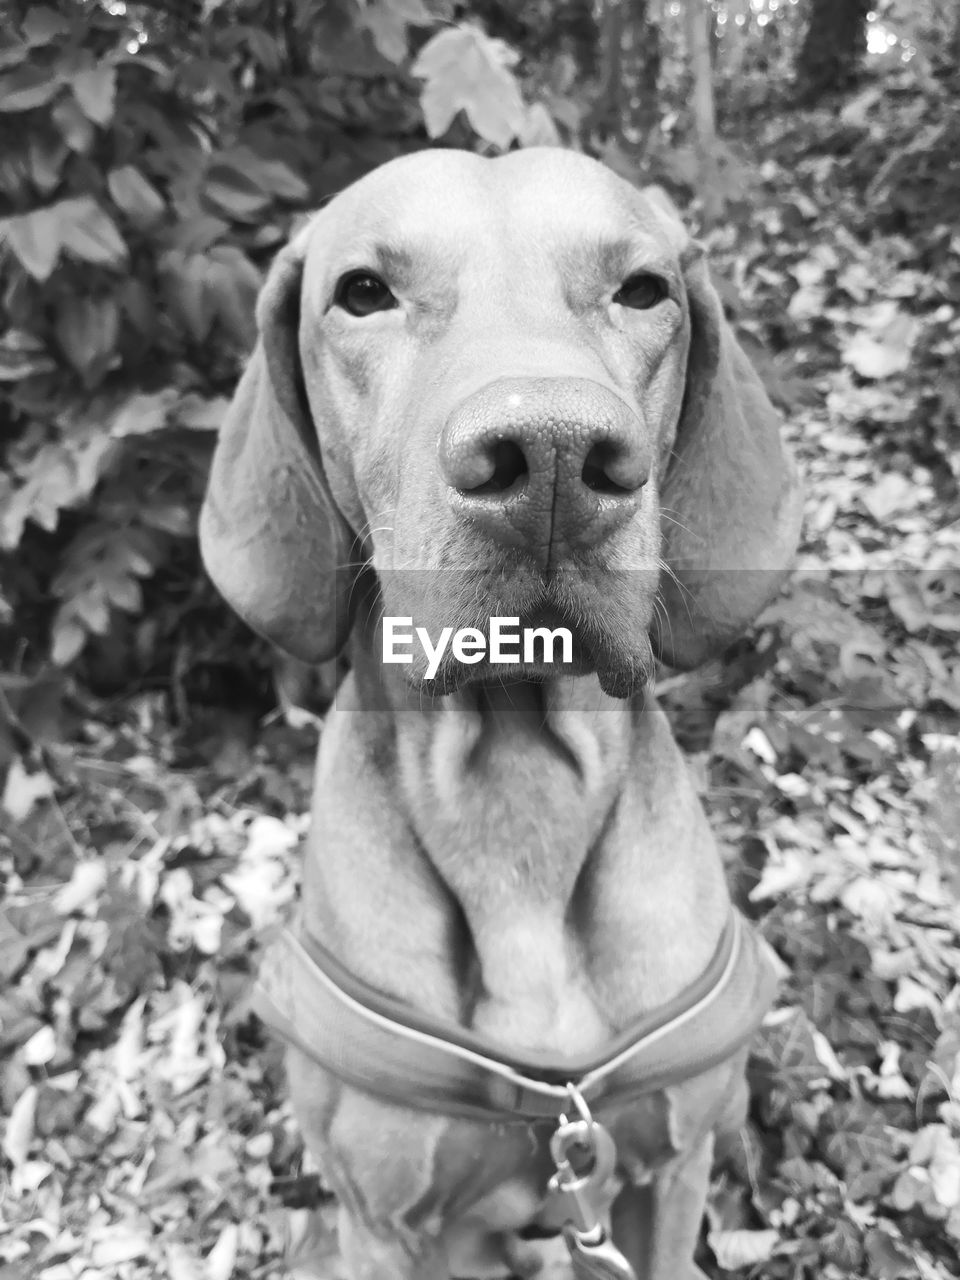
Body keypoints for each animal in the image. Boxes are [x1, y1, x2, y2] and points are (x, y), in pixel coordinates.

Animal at [203, 145, 803, 1274]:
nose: (556, 457)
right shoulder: (386, 1220)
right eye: (363, 292)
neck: (517, 794)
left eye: (644, 290)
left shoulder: (669, 1172)